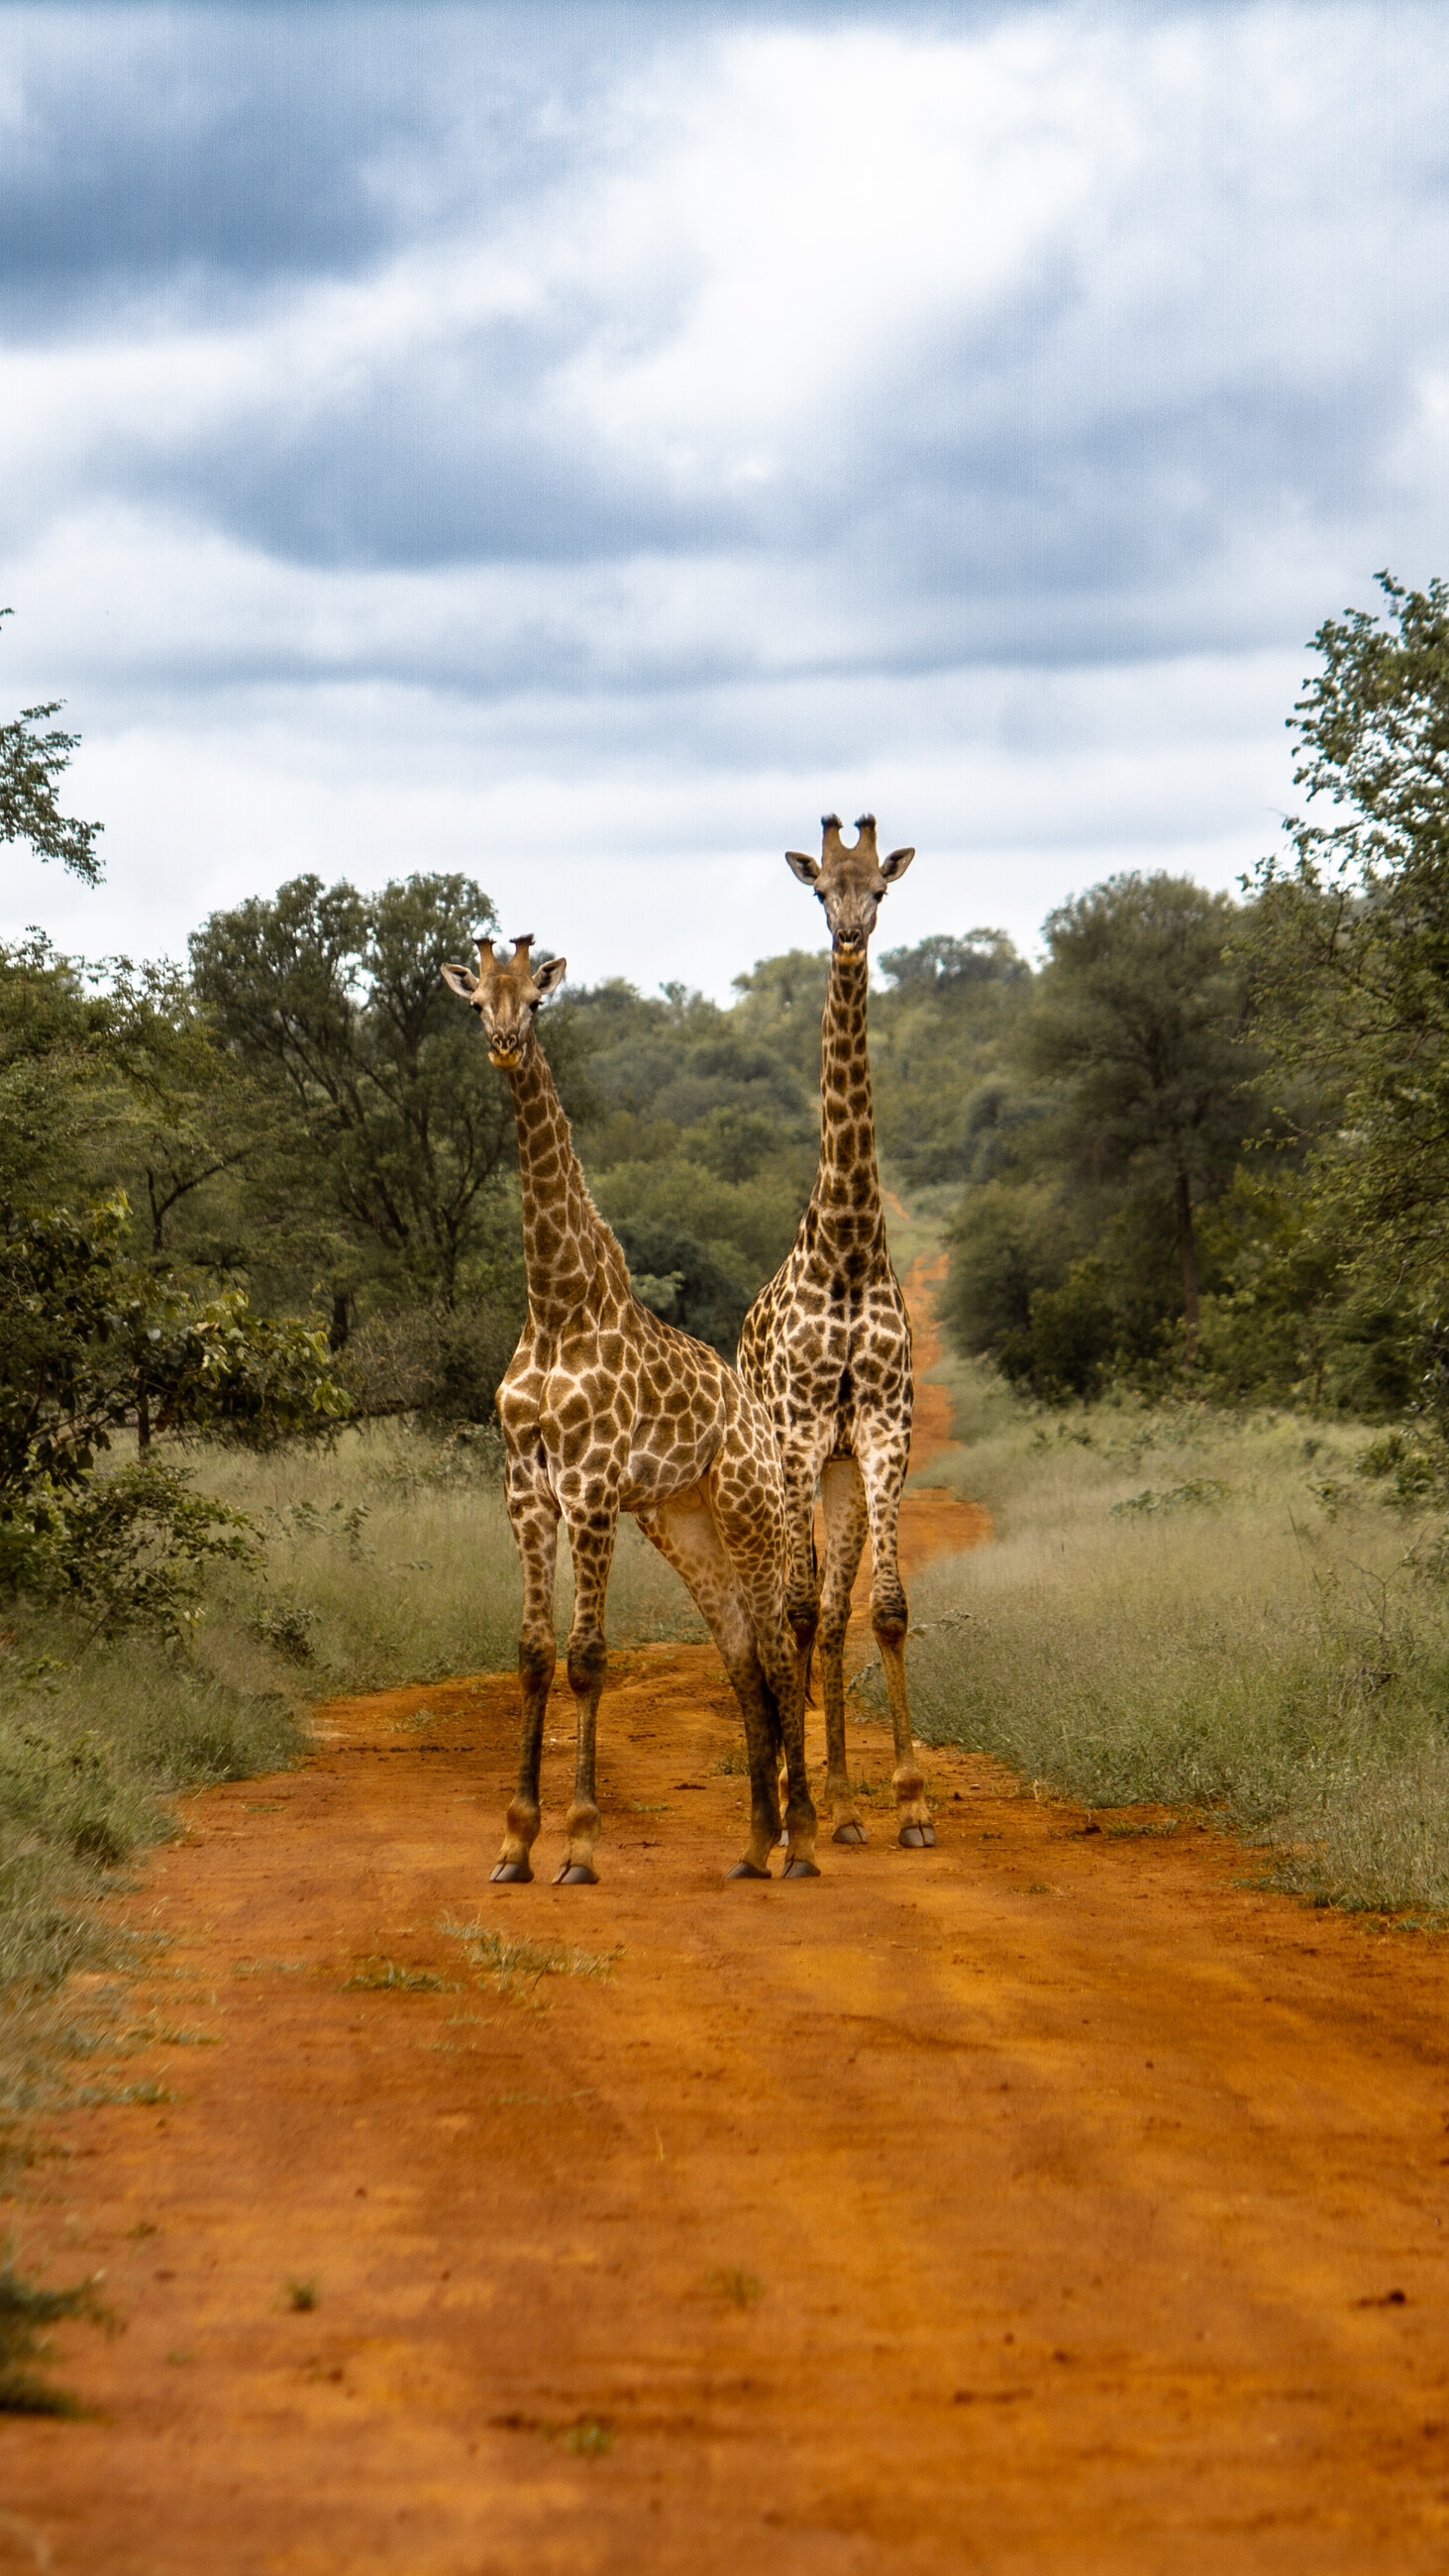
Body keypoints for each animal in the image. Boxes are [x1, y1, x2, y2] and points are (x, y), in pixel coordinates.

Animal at [442, 937, 818, 1885]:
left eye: (536, 1001)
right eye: (477, 1003)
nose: (503, 1044)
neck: (554, 1305)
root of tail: (756, 1417)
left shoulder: (591, 1488)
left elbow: (586, 1658)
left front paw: (578, 1846)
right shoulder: (526, 1489)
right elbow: (532, 1654)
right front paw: (513, 1844)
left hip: (750, 1511)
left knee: (774, 1653)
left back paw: (800, 1842)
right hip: (684, 1523)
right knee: (739, 1659)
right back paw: (753, 1844)